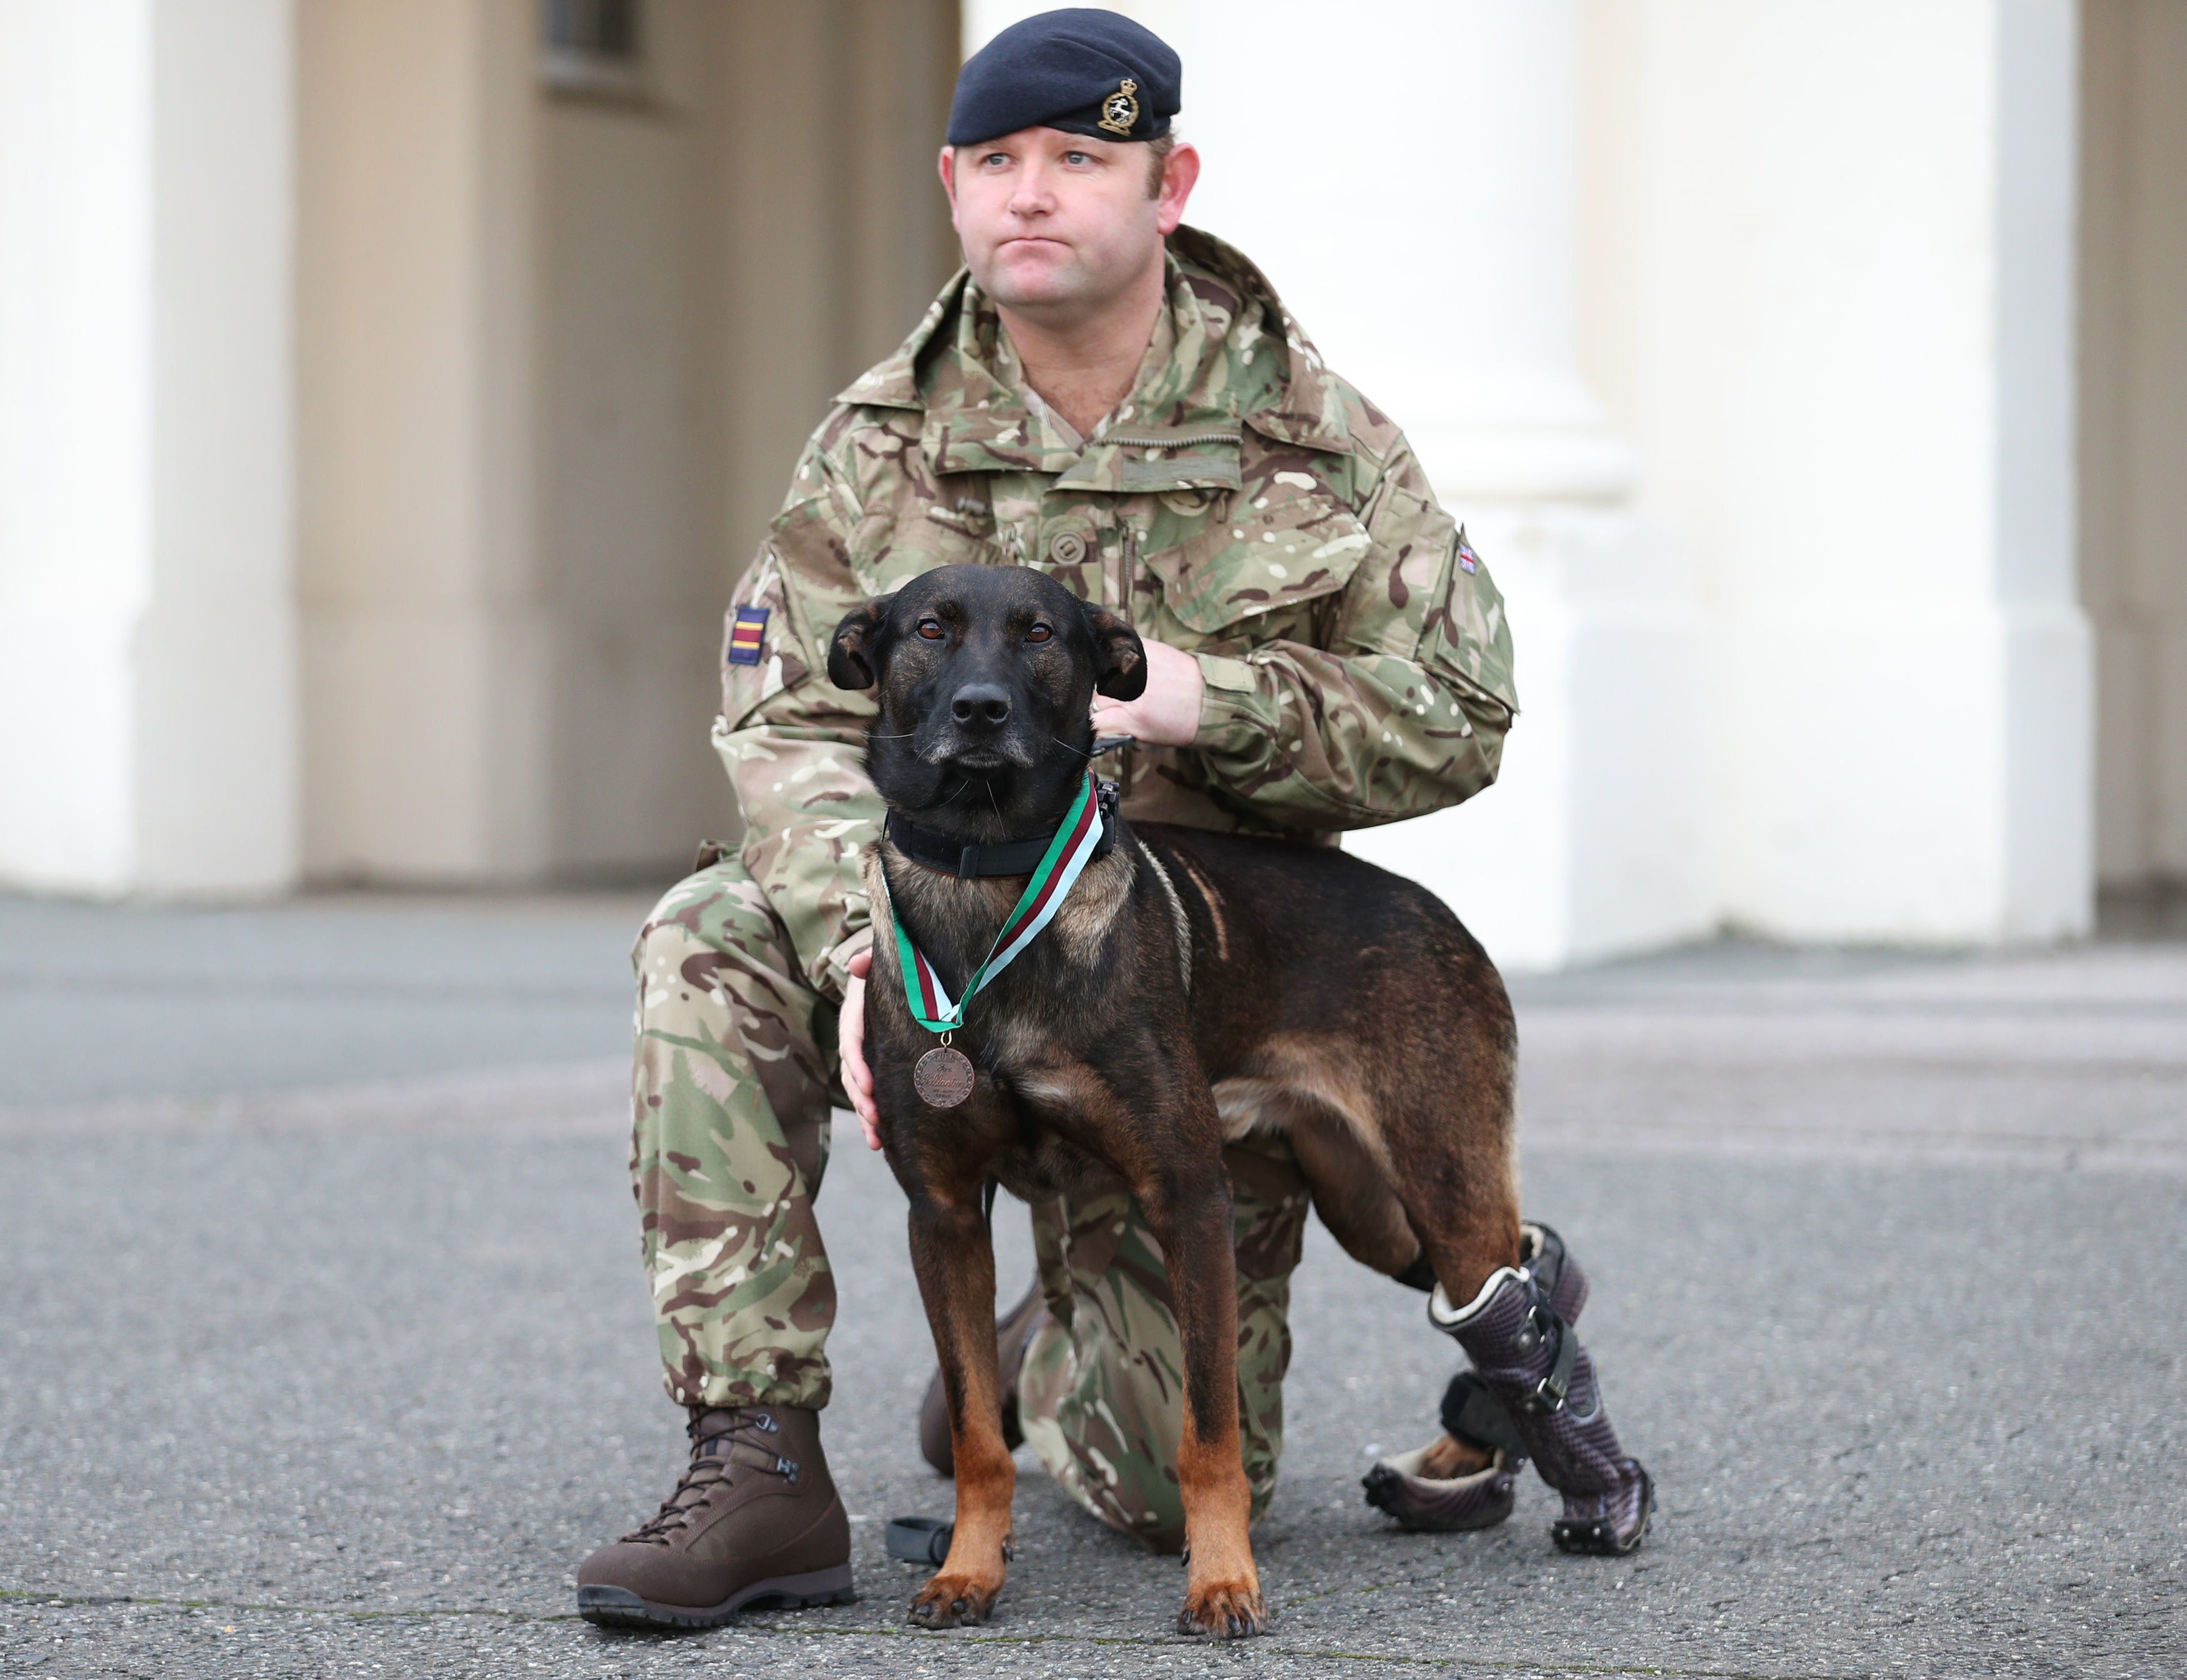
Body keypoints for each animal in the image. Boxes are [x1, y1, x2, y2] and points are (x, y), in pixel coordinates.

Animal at [827, 564, 1531, 1644]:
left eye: (1040, 633)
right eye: (932, 629)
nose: (981, 711)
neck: (993, 877)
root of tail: (1438, 912)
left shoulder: (1190, 1201)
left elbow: (1209, 1433)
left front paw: (1224, 1580)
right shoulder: (943, 1219)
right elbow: (980, 1432)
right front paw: (968, 1570)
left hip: (1437, 1185)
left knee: (1514, 1274)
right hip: (1370, 1205)